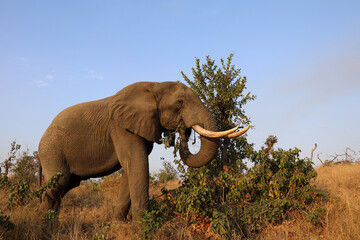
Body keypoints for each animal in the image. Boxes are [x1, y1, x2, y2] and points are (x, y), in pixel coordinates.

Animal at [38, 80, 249, 223]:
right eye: (180, 102)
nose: (182, 127)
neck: (155, 85)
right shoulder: (121, 128)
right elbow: (137, 163)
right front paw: (142, 226)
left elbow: (130, 169)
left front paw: (120, 224)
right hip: (51, 150)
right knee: (60, 181)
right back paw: (42, 223)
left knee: (66, 186)